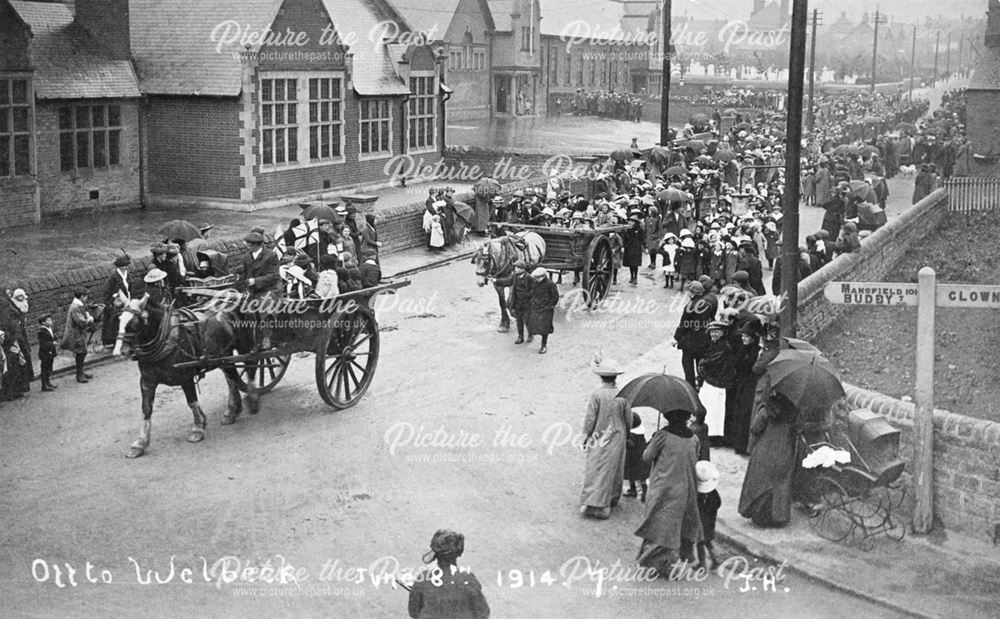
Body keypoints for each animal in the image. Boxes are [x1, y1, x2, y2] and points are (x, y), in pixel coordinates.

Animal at [112, 294, 258, 458]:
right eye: (119, 320)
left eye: (134, 324)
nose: (118, 353)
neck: (166, 336)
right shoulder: (147, 380)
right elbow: (146, 408)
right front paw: (140, 443)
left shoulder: (186, 377)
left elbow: (192, 402)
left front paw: (197, 429)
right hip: (223, 356)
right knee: (231, 379)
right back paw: (232, 411)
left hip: (245, 346)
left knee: (251, 368)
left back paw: (252, 399)